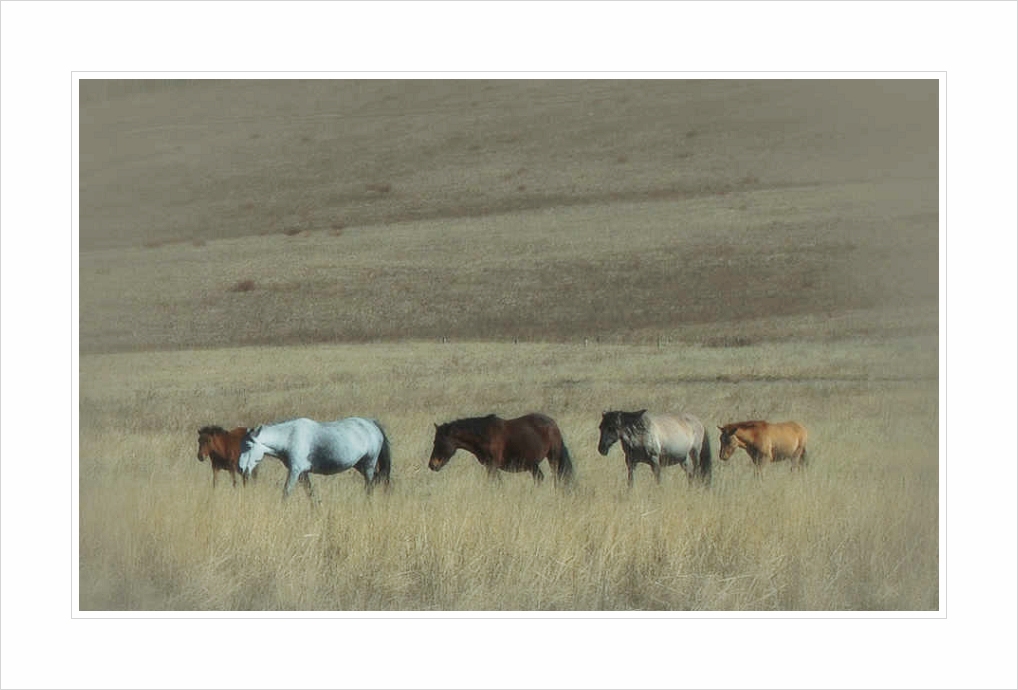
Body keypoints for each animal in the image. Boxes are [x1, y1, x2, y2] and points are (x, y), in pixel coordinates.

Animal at [238, 417, 392, 502]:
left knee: (370, 485)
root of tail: (371, 423)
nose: (240, 469)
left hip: (369, 464)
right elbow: (310, 493)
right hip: (359, 465)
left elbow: (286, 492)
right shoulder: (302, 473)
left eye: (248, 445)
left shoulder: (295, 471)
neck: (289, 437)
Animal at [427, 417, 574, 486]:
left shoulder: (492, 466)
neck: (484, 435)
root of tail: (553, 424)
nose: (432, 465)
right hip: (532, 464)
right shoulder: (489, 466)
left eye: (438, 442)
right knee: (539, 478)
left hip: (553, 457)